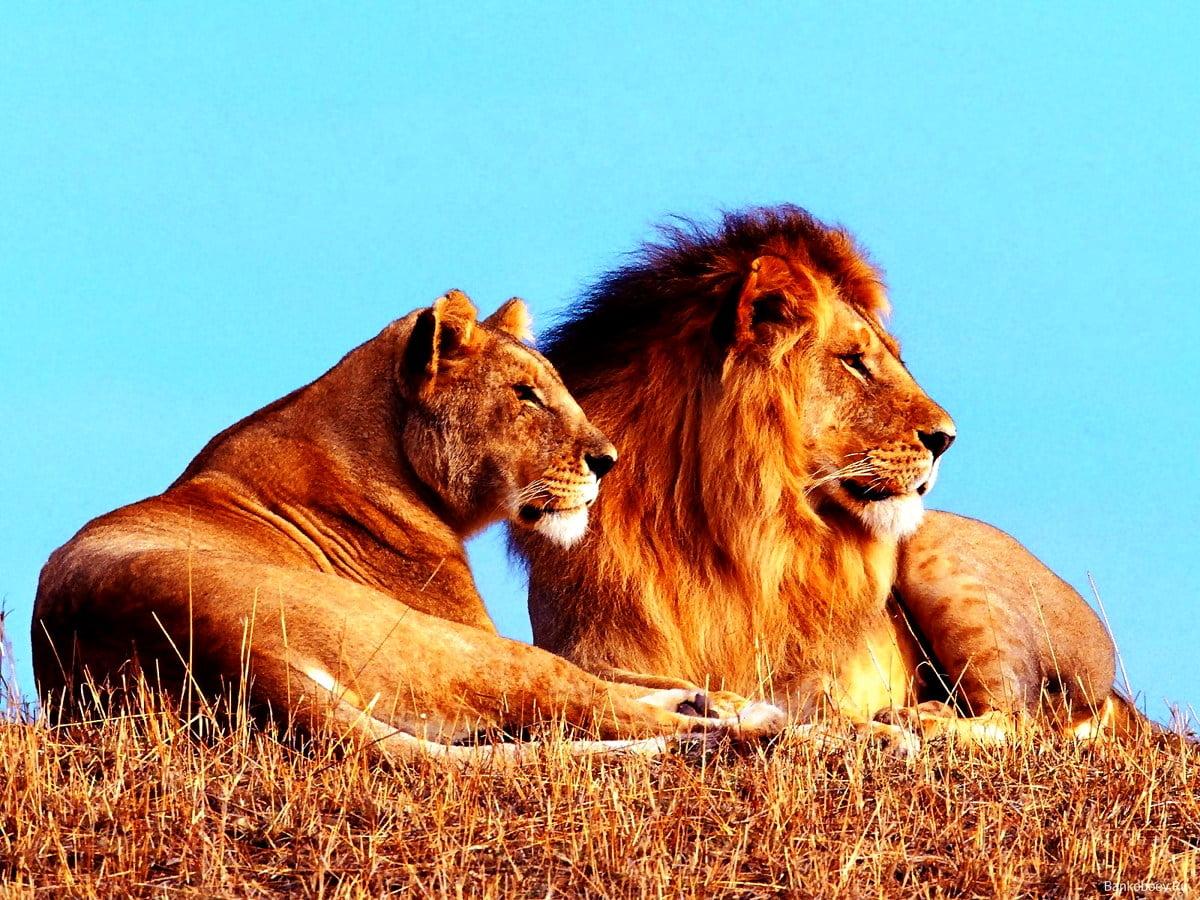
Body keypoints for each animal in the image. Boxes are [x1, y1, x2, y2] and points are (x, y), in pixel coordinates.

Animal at [32, 290, 786, 762]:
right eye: (525, 395)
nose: (608, 460)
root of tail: (223, 652)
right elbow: (603, 680)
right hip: (453, 646)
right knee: (583, 702)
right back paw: (747, 723)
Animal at [513, 206, 1141, 743]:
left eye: (892, 356)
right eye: (854, 361)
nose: (946, 438)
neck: (710, 526)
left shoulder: (810, 671)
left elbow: (805, 702)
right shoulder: (581, 643)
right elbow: (599, 680)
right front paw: (702, 703)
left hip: (938, 551)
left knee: (1021, 721)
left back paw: (919, 720)